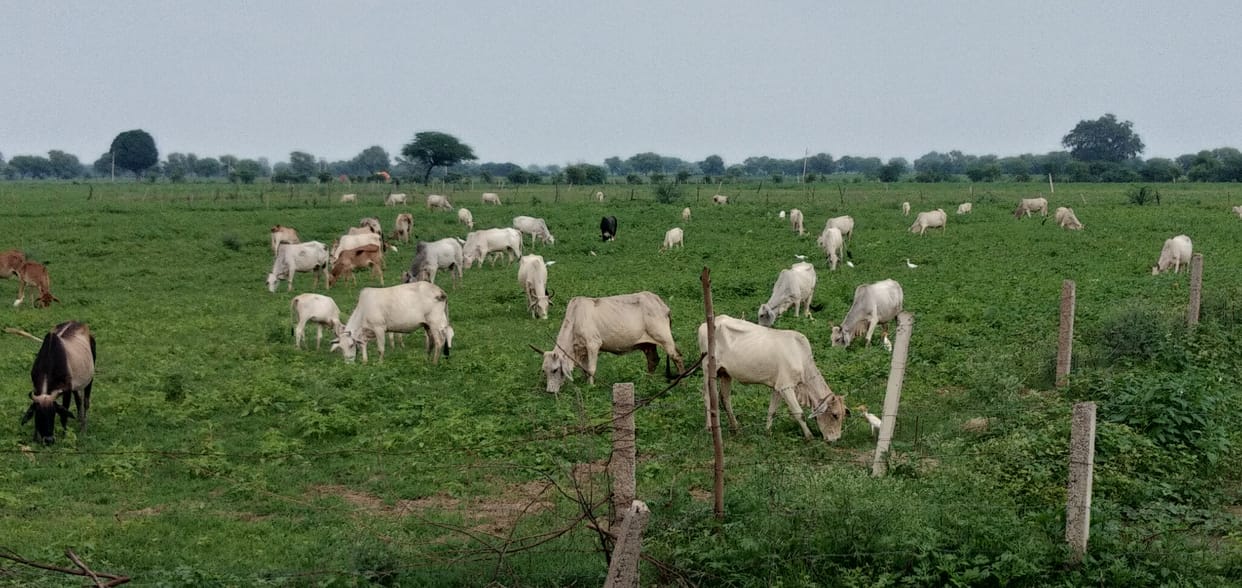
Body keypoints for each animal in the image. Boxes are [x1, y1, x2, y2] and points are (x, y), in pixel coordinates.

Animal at [534, 291, 685, 394]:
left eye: (555, 370)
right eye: (544, 371)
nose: (550, 391)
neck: (575, 320)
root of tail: (661, 304)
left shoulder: (593, 344)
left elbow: (591, 369)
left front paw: (591, 386)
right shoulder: (583, 350)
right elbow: (584, 369)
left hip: (665, 338)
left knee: (677, 357)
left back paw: (681, 383)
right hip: (648, 344)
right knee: (653, 360)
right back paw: (648, 382)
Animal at [698, 315, 846, 441]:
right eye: (835, 415)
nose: (836, 439)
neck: (801, 358)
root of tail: (707, 323)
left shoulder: (778, 387)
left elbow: (772, 411)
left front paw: (767, 432)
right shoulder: (786, 387)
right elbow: (799, 413)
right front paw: (809, 436)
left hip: (725, 373)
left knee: (725, 398)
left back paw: (735, 428)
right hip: (707, 368)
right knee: (707, 396)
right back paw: (709, 428)